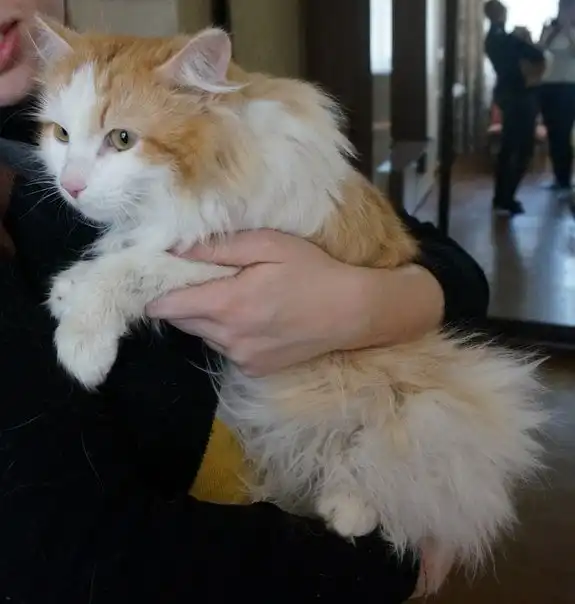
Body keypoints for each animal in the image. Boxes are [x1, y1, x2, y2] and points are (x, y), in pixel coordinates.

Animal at [32, 16, 547, 594]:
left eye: (122, 139)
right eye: (61, 135)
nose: (71, 185)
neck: (212, 168)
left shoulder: (234, 264)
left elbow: (134, 270)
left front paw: (82, 339)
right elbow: (122, 254)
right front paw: (69, 287)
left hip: (422, 405)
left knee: (398, 471)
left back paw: (348, 509)